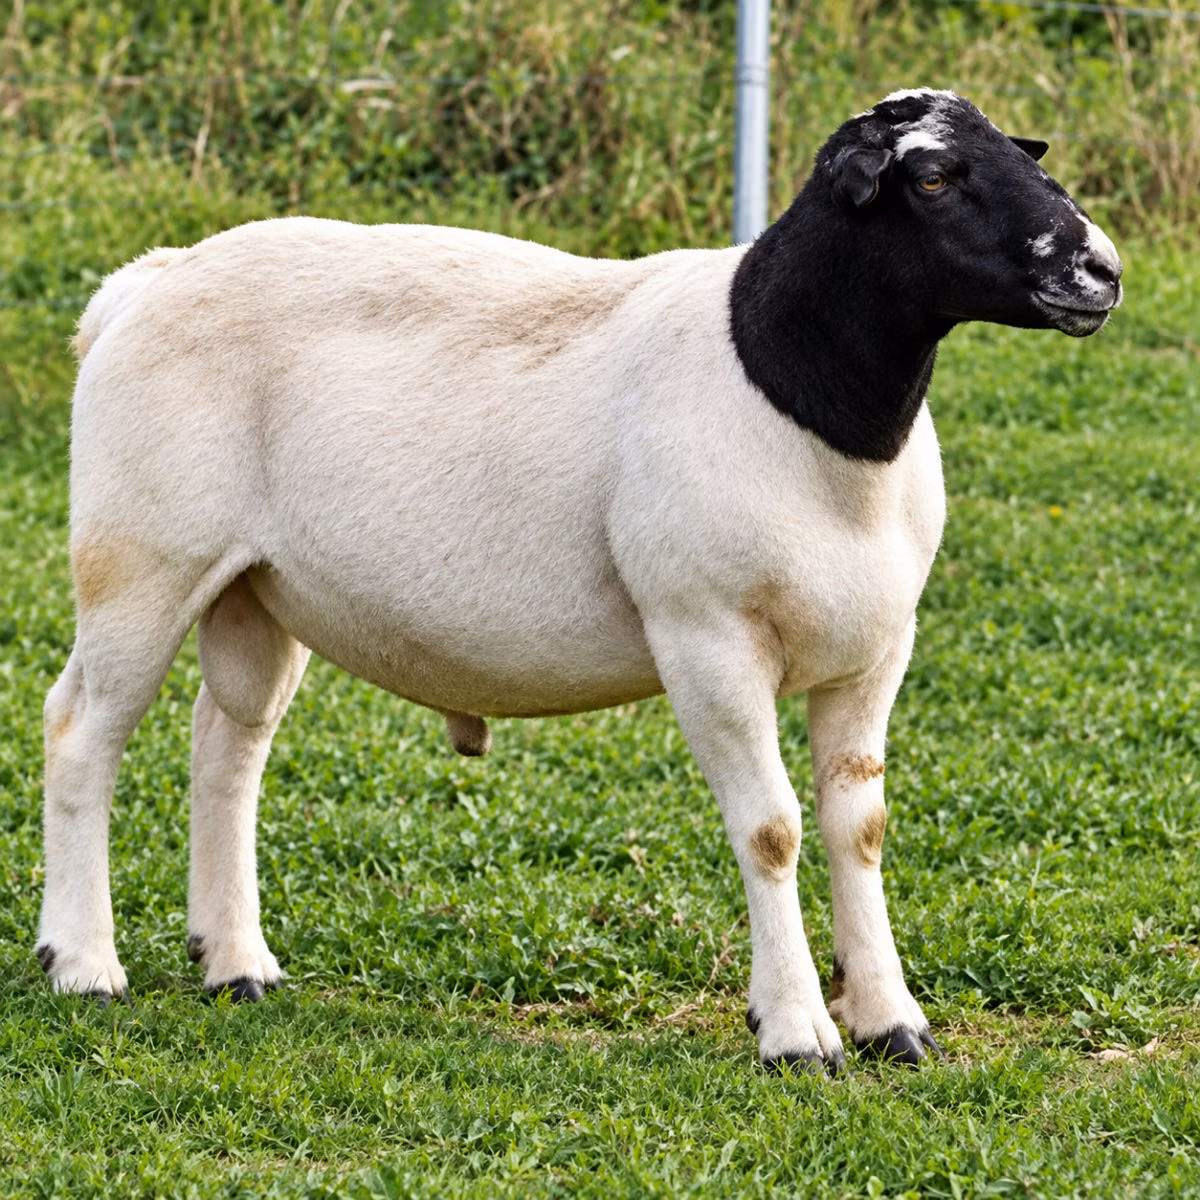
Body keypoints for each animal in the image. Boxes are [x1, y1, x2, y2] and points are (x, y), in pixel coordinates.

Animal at [39, 88, 1122, 1074]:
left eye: (1026, 155)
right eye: (932, 178)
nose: (1100, 270)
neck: (802, 396)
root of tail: (142, 284)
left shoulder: (876, 648)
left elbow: (860, 831)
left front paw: (891, 1021)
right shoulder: (706, 636)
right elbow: (772, 830)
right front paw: (796, 1033)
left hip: (255, 587)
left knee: (226, 750)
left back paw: (236, 964)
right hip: (139, 557)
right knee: (81, 732)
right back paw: (82, 965)